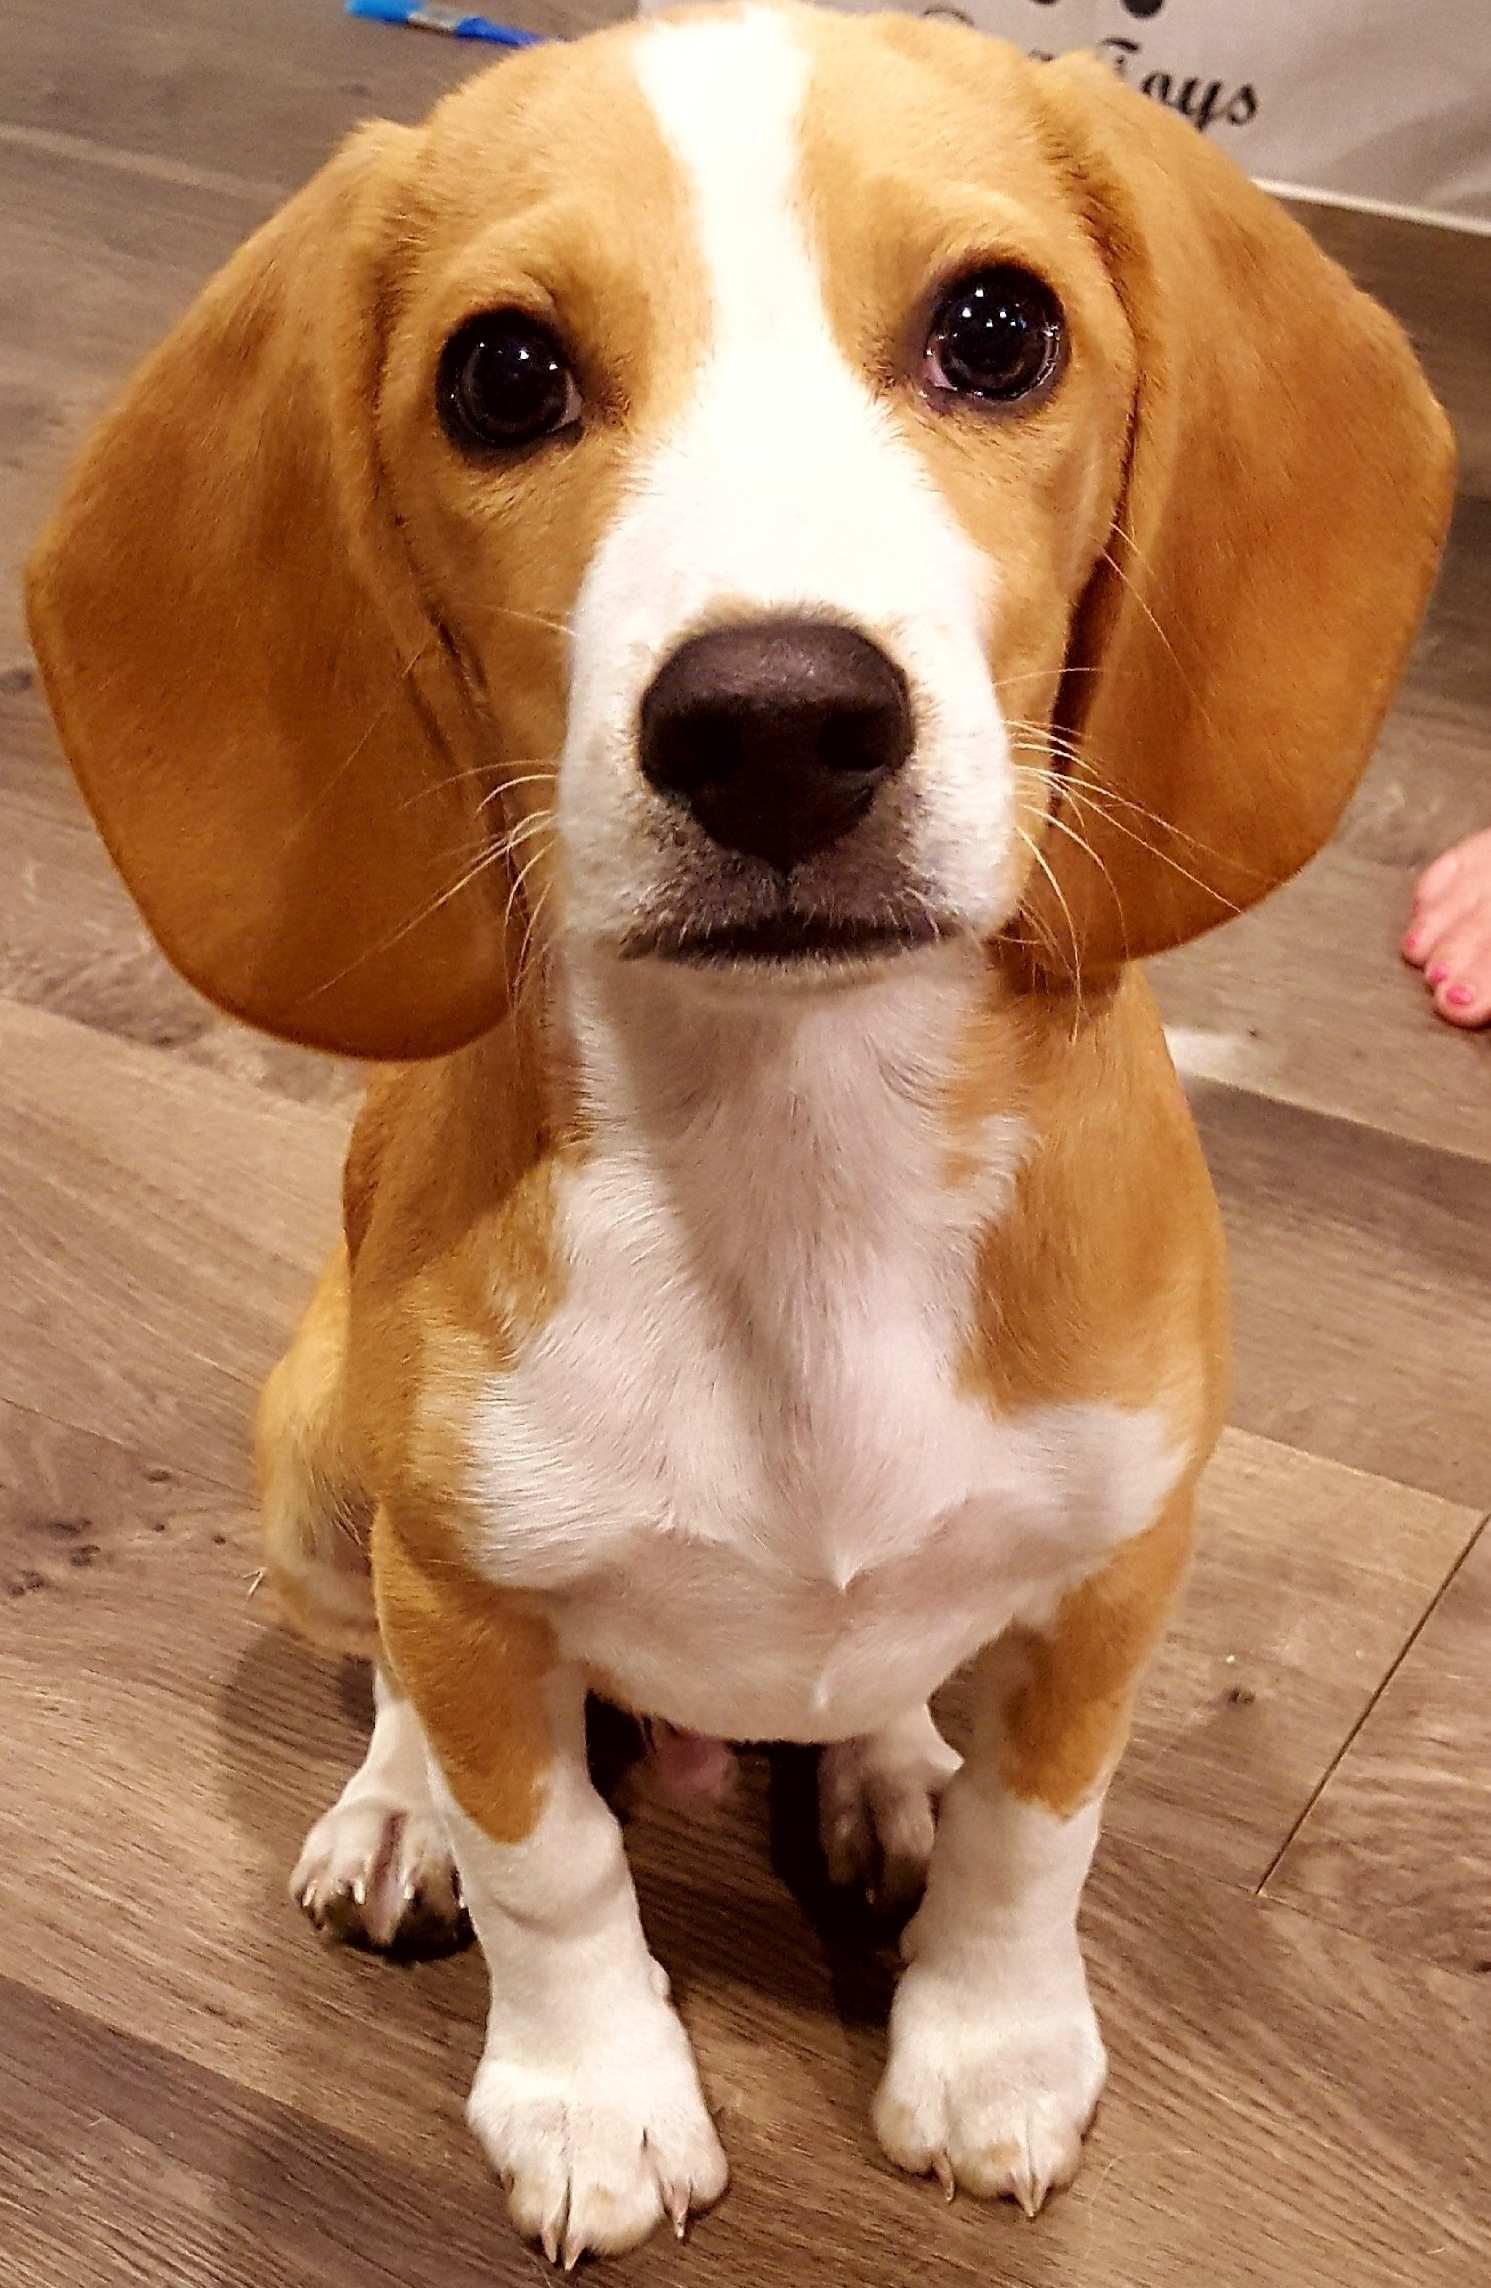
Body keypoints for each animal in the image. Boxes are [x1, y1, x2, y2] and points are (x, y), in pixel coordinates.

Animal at [26, 4, 1445, 2269]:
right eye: (502, 375)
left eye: (997, 329)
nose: (775, 721)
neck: (799, 1162)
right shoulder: (472, 1588)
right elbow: (550, 1862)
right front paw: (592, 2095)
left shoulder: (1118, 1568)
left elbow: (1039, 1835)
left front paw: (988, 2043)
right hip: (318, 1458)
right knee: (397, 1677)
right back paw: (396, 1808)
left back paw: (875, 1764)